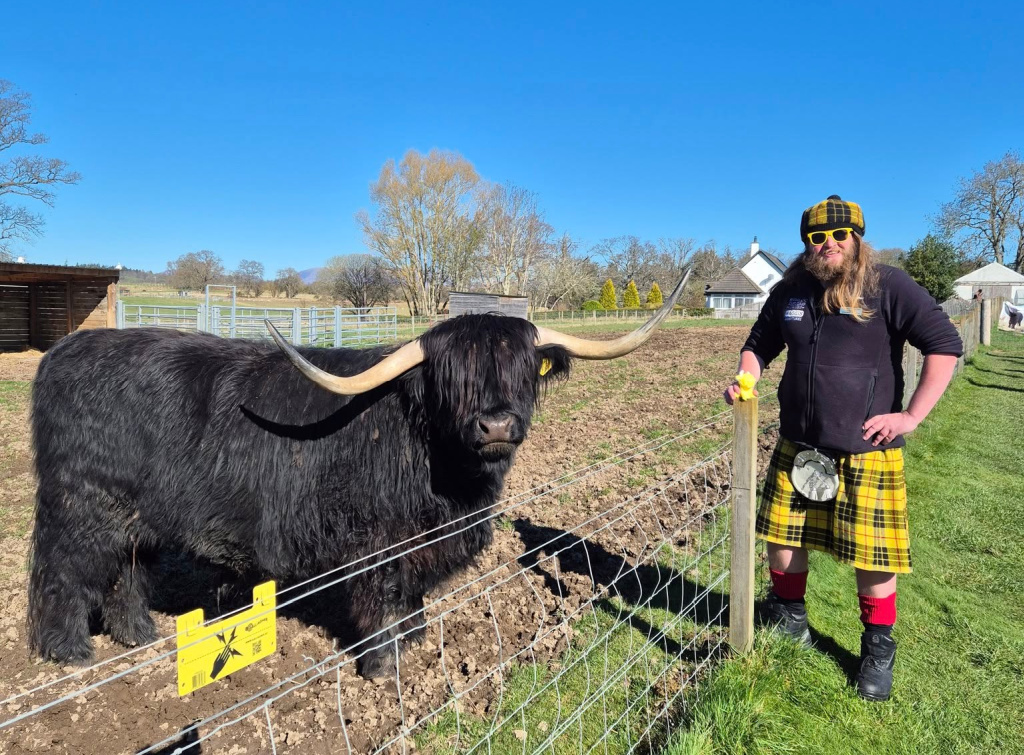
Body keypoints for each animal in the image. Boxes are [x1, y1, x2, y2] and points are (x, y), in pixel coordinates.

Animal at [28, 272, 688, 678]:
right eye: (453, 378)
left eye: (524, 369)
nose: (497, 425)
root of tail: (61, 354)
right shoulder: (375, 542)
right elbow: (379, 603)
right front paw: (384, 667)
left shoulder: (421, 545)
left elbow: (411, 598)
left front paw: (416, 639)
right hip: (83, 508)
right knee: (63, 574)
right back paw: (71, 653)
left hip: (135, 519)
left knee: (126, 573)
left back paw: (139, 636)